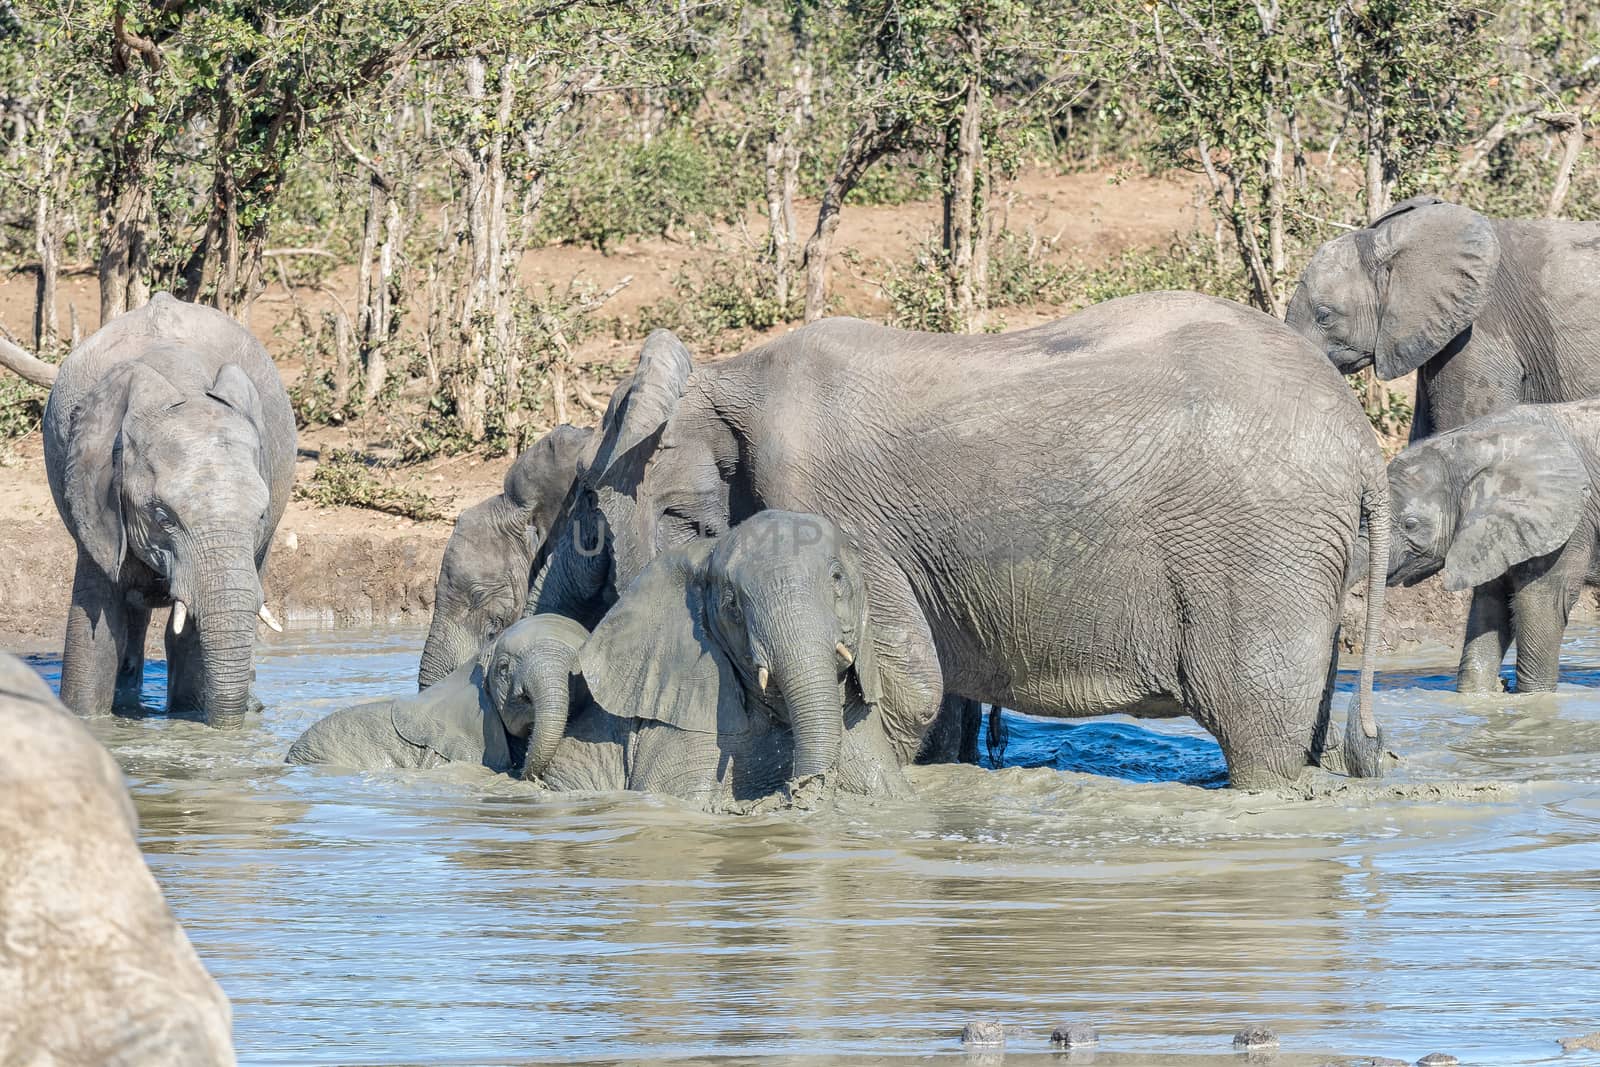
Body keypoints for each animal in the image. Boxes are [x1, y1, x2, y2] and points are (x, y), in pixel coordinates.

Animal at [41, 292, 294, 726]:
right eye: (162, 517)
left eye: (259, 516)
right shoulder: (91, 498)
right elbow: (96, 625)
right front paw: (87, 722)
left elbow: (189, 634)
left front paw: (192, 714)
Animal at [524, 294, 1388, 793]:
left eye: (588, 519)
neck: (729, 374)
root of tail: (1363, 447)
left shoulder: (837, 516)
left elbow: (910, 683)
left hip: (1262, 553)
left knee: (1260, 732)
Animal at [1388, 398, 1600, 694]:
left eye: (1410, 524)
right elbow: (1491, 603)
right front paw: (1483, 693)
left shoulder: (1570, 519)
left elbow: (1541, 603)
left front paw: (1534, 698)